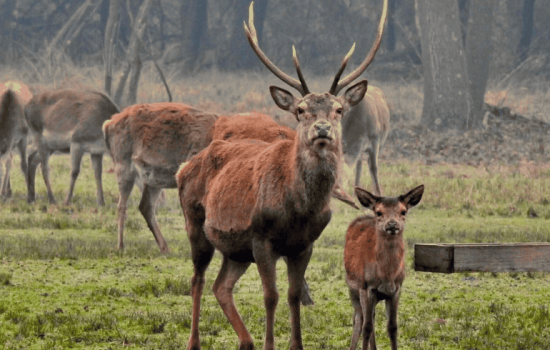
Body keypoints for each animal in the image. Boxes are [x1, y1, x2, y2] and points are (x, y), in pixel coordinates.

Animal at [176, 1, 388, 348]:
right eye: (300, 110)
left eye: (339, 109)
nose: (322, 128)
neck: (299, 209)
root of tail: (184, 167)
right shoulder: (262, 239)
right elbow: (271, 296)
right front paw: (270, 343)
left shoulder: (304, 245)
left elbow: (292, 296)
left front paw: (295, 343)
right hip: (195, 223)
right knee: (197, 279)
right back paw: (195, 341)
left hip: (236, 249)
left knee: (221, 286)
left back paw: (246, 341)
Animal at [344, 185, 426, 348]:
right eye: (379, 212)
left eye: (403, 211)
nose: (392, 224)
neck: (387, 276)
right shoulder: (367, 288)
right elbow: (367, 327)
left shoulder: (396, 289)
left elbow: (392, 327)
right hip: (353, 288)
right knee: (359, 320)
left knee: (371, 318)